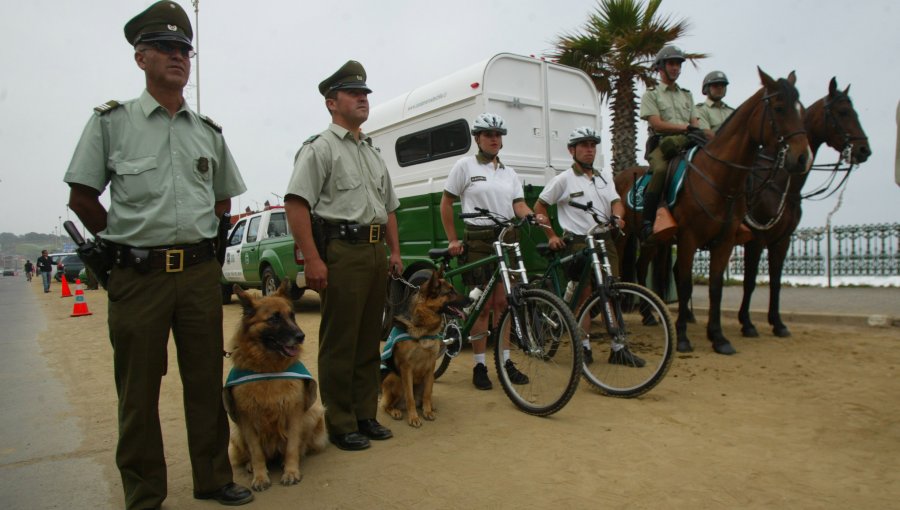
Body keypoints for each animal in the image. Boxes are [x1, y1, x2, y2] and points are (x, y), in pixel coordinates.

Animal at [225, 280, 326, 492]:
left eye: (292, 315)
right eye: (273, 319)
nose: (301, 336)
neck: (268, 370)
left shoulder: (294, 412)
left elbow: (292, 447)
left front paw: (291, 472)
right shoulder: (246, 417)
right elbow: (256, 452)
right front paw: (260, 476)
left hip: (313, 415)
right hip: (236, 432)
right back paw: (250, 465)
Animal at [380, 270, 468, 426]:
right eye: (450, 292)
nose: (471, 299)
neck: (424, 327)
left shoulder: (430, 366)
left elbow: (427, 392)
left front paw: (427, 411)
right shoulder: (406, 367)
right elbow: (410, 397)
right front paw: (414, 417)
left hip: (427, 378)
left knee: (424, 396)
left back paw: (429, 406)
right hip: (394, 377)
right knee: (387, 405)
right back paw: (395, 411)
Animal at [616, 67, 812, 354]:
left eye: (802, 110)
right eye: (778, 107)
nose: (802, 157)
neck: (719, 178)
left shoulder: (726, 241)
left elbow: (715, 287)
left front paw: (718, 337)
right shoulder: (689, 239)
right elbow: (685, 284)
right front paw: (683, 337)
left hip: (656, 241)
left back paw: (652, 314)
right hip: (628, 237)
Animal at [740, 77, 872, 336]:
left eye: (855, 112)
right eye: (843, 112)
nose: (864, 150)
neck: (779, 184)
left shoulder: (782, 241)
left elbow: (776, 281)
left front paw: (778, 323)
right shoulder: (756, 239)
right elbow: (749, 281)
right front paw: (747, 323)